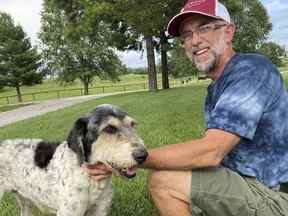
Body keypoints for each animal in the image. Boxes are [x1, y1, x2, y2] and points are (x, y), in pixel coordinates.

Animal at [0, 104, 148, 215]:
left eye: (133, 124)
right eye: (109, 129)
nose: (144, 155)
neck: (89, 178)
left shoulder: (100, 210)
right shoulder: (68, 212)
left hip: (26, 202)